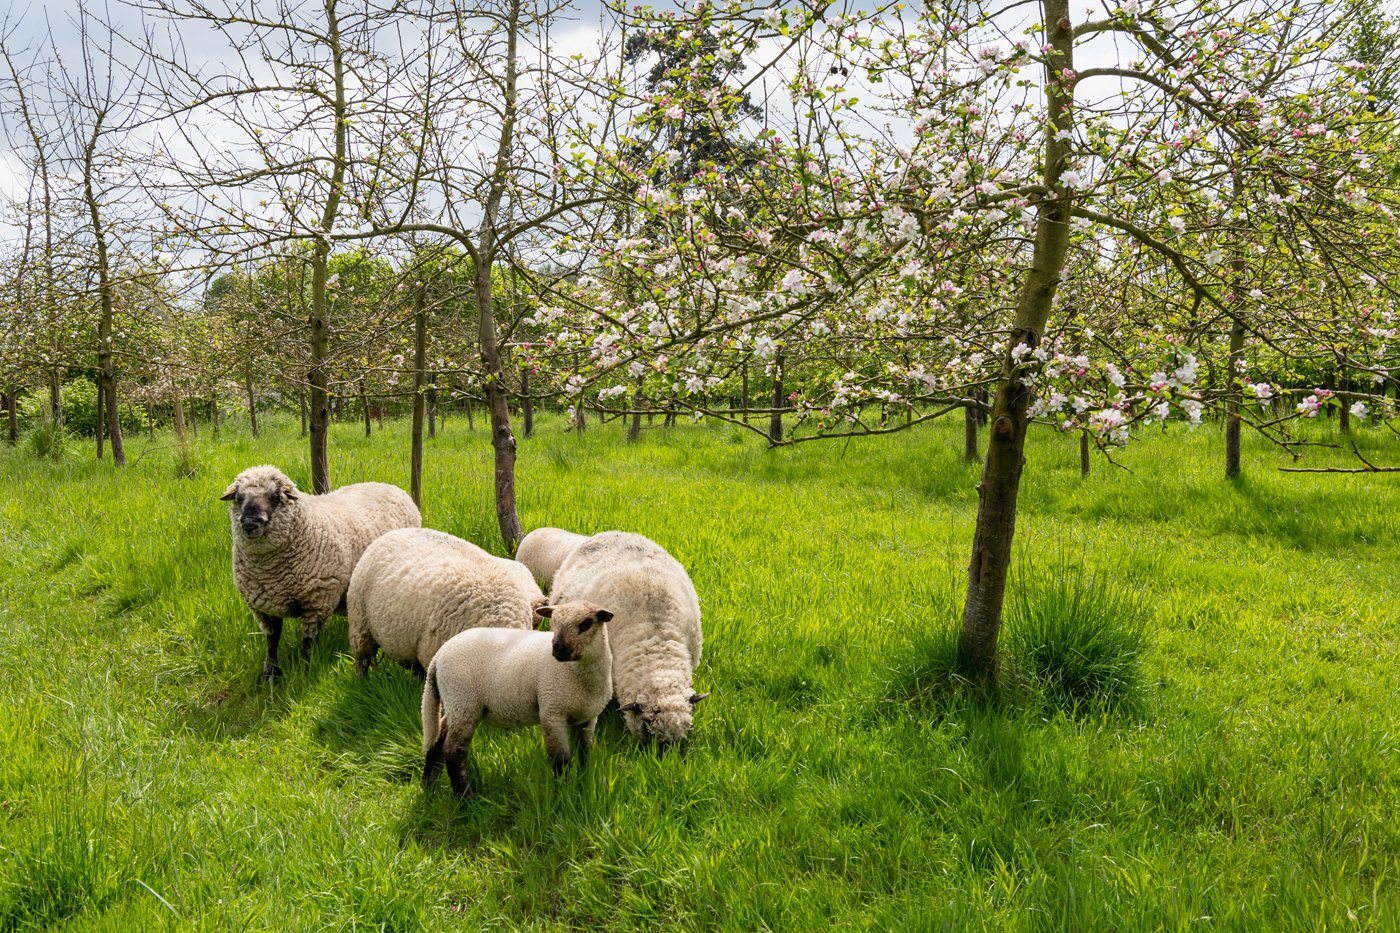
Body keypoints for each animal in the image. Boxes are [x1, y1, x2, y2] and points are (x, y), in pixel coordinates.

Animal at [222, 465, 420, 679]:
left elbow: (308, 644)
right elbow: (272, 641)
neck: (270, 572)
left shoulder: (317, 601)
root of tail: (390, 486)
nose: (250, 524)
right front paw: (270, 674)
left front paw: (305, 672)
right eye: (239, 497)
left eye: (275, 496)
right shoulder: (264, 606)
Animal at [421, 602, 613, 798]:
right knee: (453, 752)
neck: (580, 677)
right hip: (463, 700)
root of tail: (439, 655)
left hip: (456, 703)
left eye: (586, 623)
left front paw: (582, 782)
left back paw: (429, 787)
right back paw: (465, 797)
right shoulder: (552, 711)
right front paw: (563, 792)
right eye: (553, 623)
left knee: (438, 742)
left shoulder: (588, 717)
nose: (558, 650)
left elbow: (585, 753)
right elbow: (561, 760)